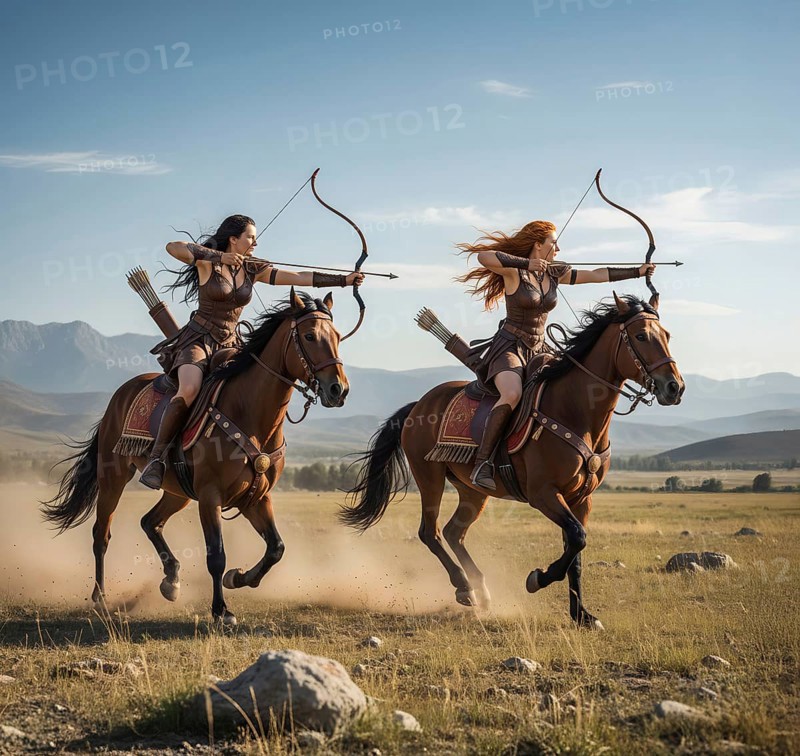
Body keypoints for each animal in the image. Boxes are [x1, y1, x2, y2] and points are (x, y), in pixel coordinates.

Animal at [41, 290, 347, 624]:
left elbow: (276, 548)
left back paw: (171, 579)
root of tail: (119, 397)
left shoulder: (256, 497)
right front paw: (221, 609)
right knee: (101, 534)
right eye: (309, 335)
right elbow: (216, 555)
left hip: (178, 491)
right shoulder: (210, 496)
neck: (250, 415)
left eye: (338, 336)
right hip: (113, 477)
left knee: (150, 522)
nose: (338, 389)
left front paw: (239, 578)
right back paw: (100, 597)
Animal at [340, 293, 684, 629]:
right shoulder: (543, 494)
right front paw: (538, 579)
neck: (575, 411)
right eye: (641, 336)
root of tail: (417, 407)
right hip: (430, 478)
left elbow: (576, 553)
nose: (675, 386)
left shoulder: (581, 499)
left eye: (667, 335)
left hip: (472, 490)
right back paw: (464, 588)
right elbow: (576, 539)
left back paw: (481, 590)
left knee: (453, 532)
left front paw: (581, 615)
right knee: (430, 532)